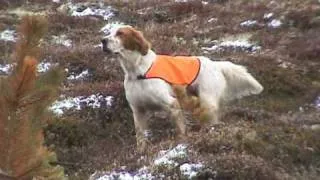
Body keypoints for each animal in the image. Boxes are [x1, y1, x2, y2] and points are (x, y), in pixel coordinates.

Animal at [101, 25, 264, 151]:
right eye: (109, 32)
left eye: (120, 33)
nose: (102, 40)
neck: (137, 70)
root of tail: (215, 64)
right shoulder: (138, 111)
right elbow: (140, 138)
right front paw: (141, 153)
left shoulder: (172, 104)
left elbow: (180, 130)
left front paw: (181, 142)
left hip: (207, 102)